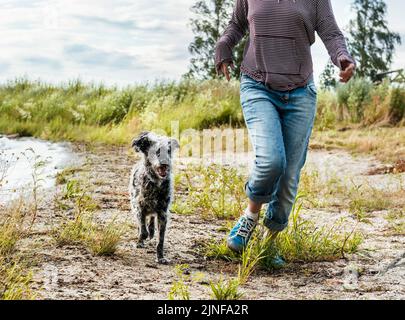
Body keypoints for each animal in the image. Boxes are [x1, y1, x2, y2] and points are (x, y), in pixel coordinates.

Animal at [129, 131, 179, 264]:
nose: (165, 163)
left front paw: (160, 257)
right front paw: (141, 240)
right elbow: (142, 228)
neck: (155, 183)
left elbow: (160, 239)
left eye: (168, 151)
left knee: (151, 218)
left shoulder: (162, 213)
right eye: (157, 151)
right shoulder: (139, 207)